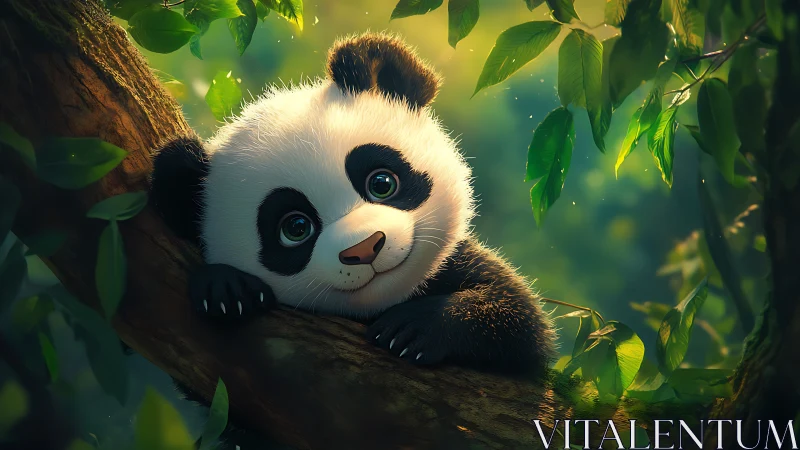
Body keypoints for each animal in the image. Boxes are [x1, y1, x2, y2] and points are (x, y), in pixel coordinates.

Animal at [149, 32, 556, 377]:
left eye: (381, 183)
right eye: (295, 228)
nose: (365, 248)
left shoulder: (455, 266)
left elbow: (522, 321)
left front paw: (413, 329)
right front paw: (226, 290)